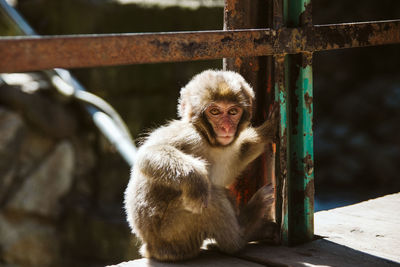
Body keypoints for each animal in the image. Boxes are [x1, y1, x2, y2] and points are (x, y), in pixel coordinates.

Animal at [123, 69, 276, 262]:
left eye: (233, 112)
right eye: (215, 111)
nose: (226, 128)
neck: (205, 137)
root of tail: (151, 247)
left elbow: (227, 171)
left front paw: (265, 133)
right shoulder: (189, 135)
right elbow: (147, 154)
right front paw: (195, 180)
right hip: (174, 232)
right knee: (212, 197)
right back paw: (241, 235)